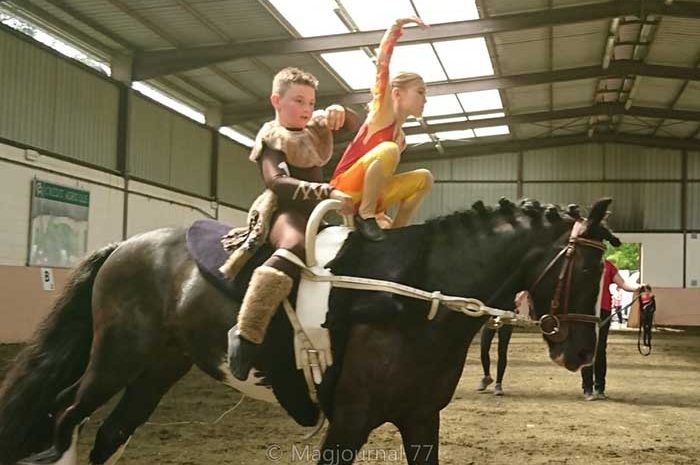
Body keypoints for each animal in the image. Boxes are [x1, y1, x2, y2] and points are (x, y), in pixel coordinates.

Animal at [0, 197, 616, 464]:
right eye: (588, 269)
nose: (584, 352)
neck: (415, 296)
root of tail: (124, 246)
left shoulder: (421, 420)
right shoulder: (348, 423)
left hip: (159, 367)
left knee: (109, 433)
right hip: (116, 360)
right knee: (65, 413)